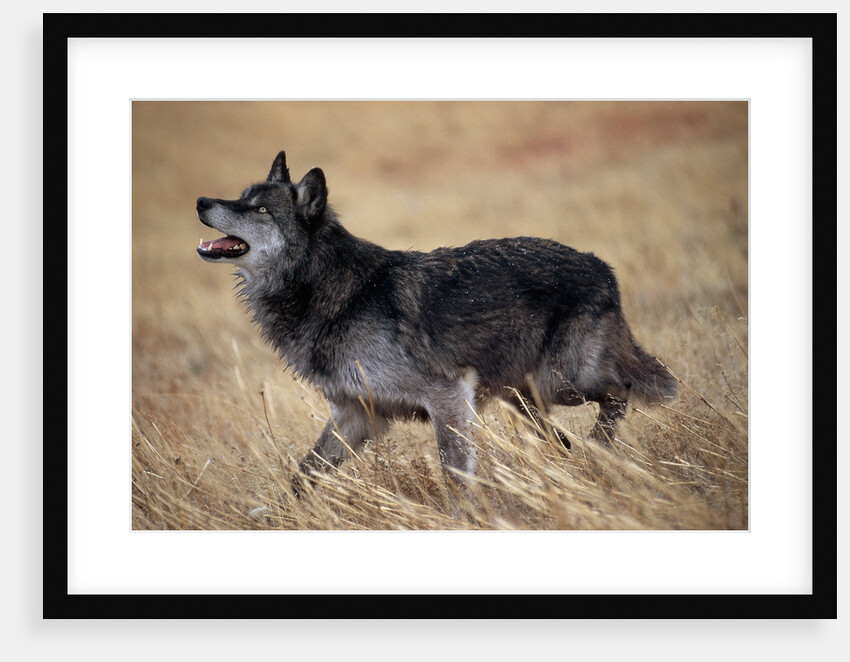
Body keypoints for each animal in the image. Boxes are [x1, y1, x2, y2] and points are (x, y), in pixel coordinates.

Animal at [196, 151, 676, 485]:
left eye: (261, 210)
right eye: (241, 198)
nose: (201, 200)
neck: (332, 289)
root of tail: (603, 266)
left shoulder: (448, 397)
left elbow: (455, 478)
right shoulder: (357, 415)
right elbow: (302, 477)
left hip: (560, 383)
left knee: (626, 388)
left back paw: (601, 450)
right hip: (525, 399)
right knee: (565, 441)